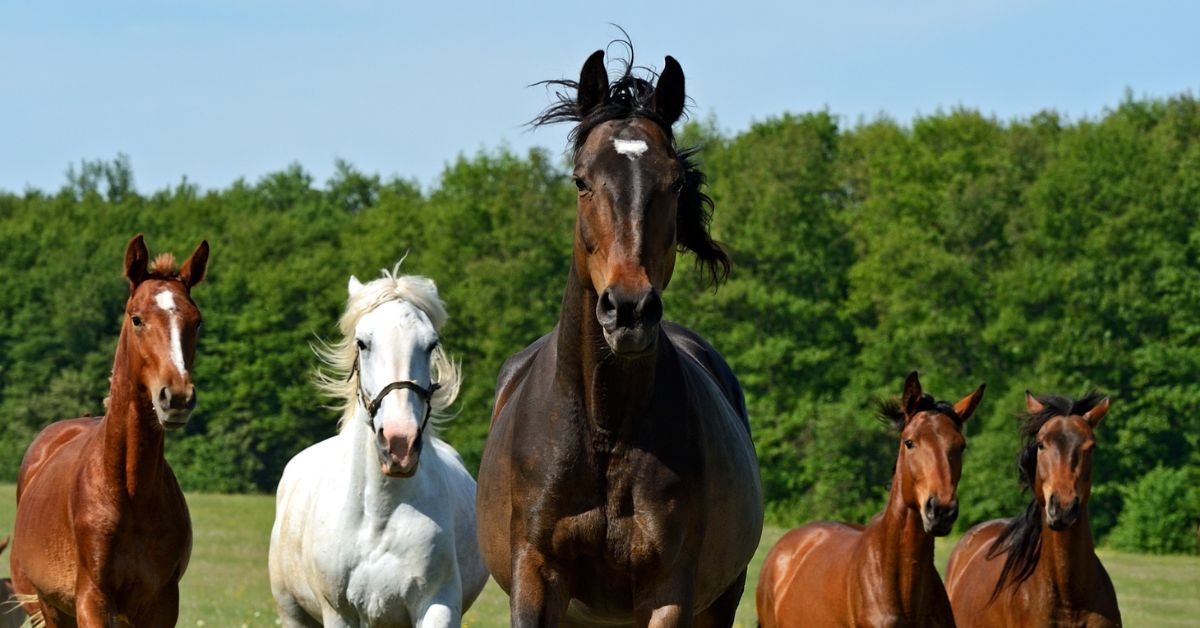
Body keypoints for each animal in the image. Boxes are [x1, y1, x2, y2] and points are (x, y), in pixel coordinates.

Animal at [10, 234, 207, 627]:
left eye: (196, 322)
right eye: (137, 319)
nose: (177, 397)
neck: (131, 492)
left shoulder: (162, 604)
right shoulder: (93, 599)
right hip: (50, 607)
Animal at [269, 265, 488, 628]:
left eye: (431, 344)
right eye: (362, 343)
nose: (400, 443)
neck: (379, 517)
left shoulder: (437, 605)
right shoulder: (339, 612)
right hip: (293, 614)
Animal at [475, 43, 763, 627]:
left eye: (674, 183)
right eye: (581, 180)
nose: (629, 309)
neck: (604, 427)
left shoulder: (669, 588)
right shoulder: (536, 576)